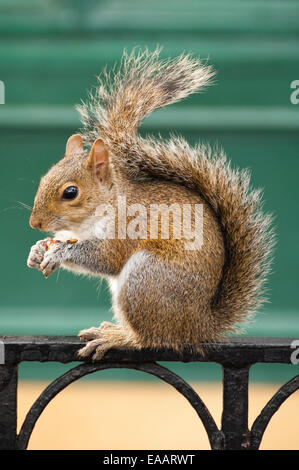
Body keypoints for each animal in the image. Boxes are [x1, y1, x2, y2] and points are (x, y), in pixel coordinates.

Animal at [27, 47, 276, 358]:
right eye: (43, 178)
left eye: (70, 192)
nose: (34, 223)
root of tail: (198, 326)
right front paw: (38, 251)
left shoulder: (123, 232)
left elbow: (102, 258)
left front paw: (59, 253)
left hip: (146, 280)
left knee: (151, 338)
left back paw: (117, 337)